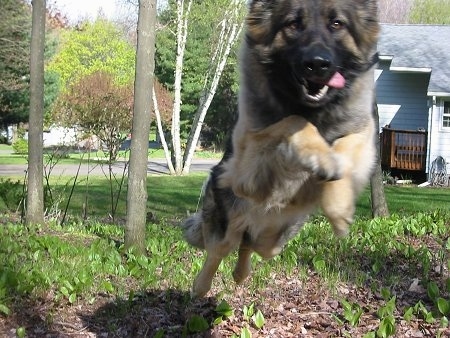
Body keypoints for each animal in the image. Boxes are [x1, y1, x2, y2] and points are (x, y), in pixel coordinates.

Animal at [183, 0, 380, 298]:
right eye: (293, 24)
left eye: (337, 24)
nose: (318, 64)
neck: (313, 110)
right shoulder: (248, 163)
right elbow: (293, 121)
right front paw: (321, 155)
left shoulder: (363, 129)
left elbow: (346, 146)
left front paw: (339, 205)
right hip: (228, 219)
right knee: (220, 249)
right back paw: (201, 285)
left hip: (275, 238)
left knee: (250, 245)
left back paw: (240, 273)